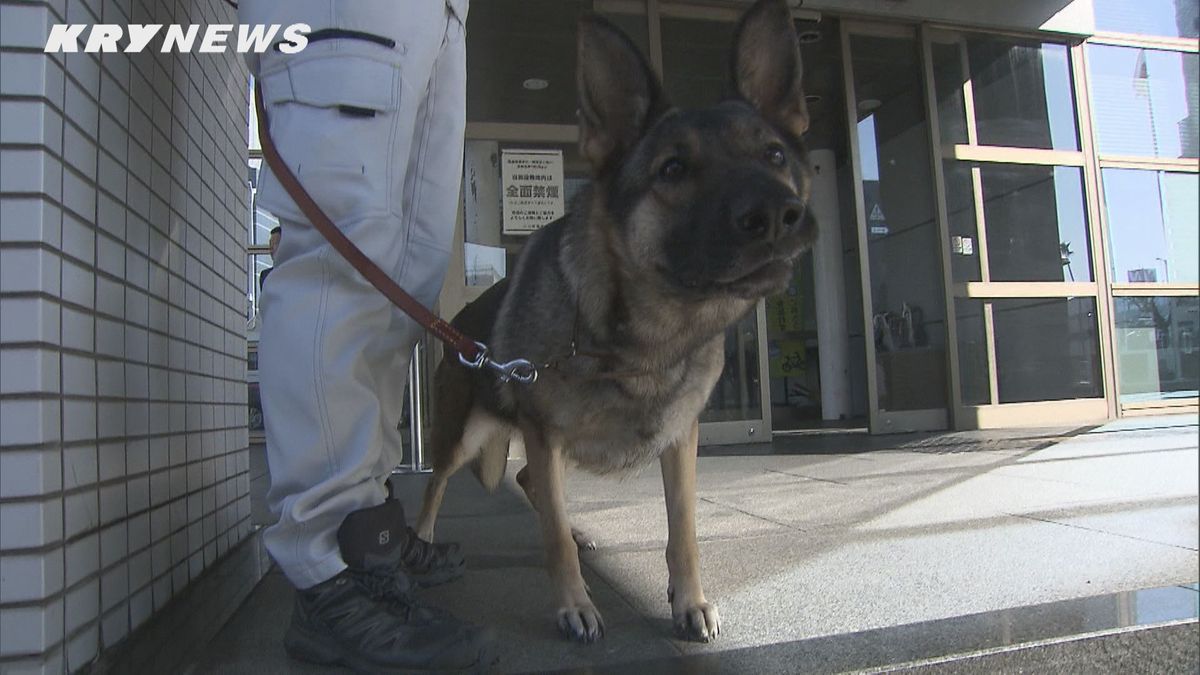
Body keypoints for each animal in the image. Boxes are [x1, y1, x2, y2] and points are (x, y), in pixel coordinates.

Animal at [417, 0, 820, 638]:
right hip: (463, 437)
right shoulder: (544, 433)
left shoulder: (679, 440)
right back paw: (422, 542)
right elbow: (552, 539)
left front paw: (689, 601)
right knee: (435, 488)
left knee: (530, 484)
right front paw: (574, 605)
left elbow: (683, 532)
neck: (645, 338)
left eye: (774, 155)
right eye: (673, 169)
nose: (780, 214)